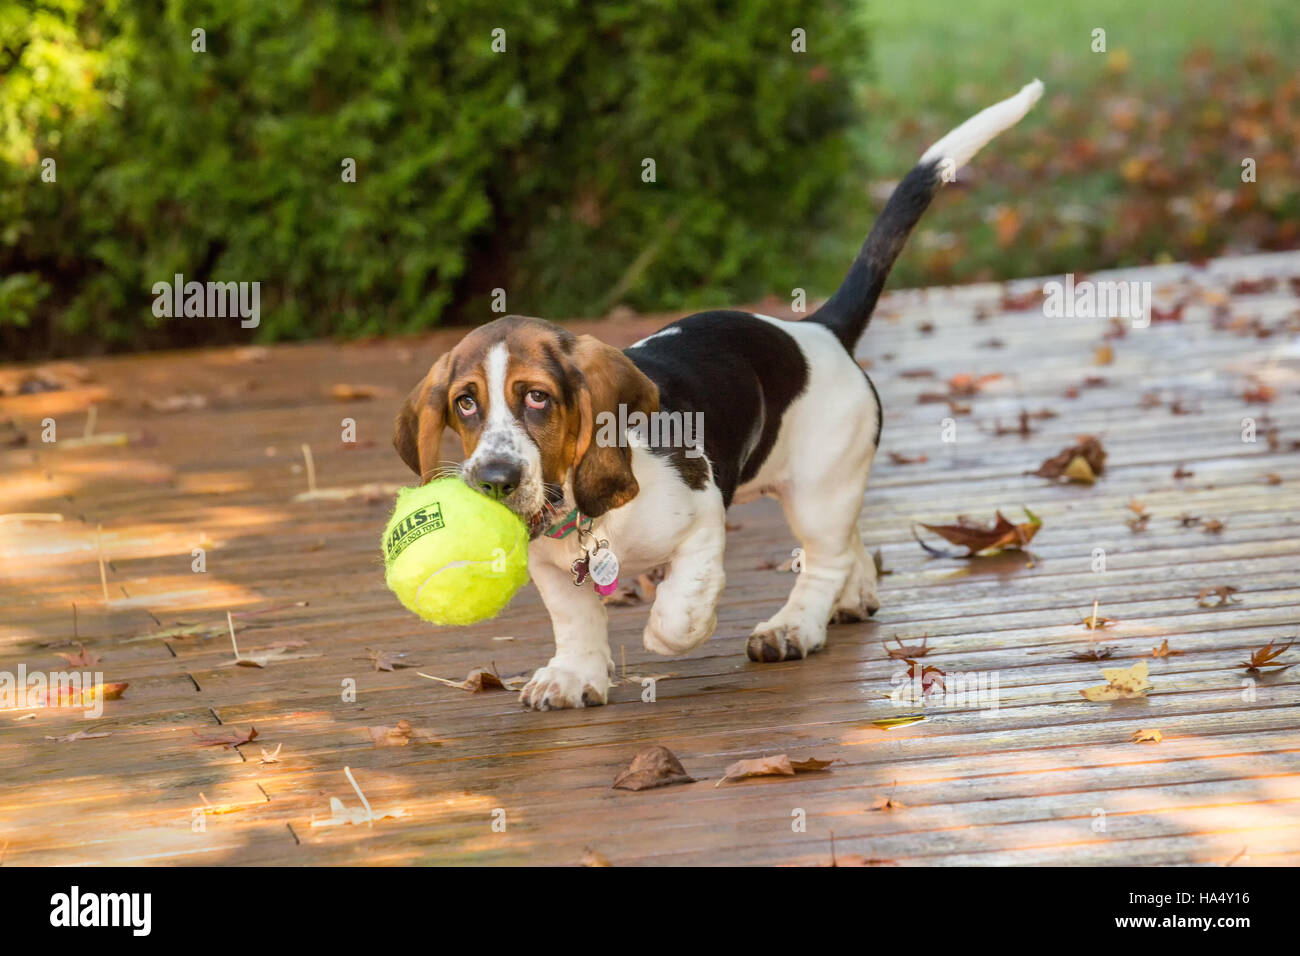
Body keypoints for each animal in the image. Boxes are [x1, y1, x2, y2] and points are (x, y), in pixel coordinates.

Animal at [395, 80, 1045, 712]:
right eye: (465, 404)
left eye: (536, 397)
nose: (494, 480)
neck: (579, 512)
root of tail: (821, 330)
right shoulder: (553, 571)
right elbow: (575, 619)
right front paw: (574, 675)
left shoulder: (704, 515)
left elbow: (682, 603)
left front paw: (677, 631)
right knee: (847, 544)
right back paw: (854, 595)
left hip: (818, 488)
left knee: (824, 558)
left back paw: (793, 626)